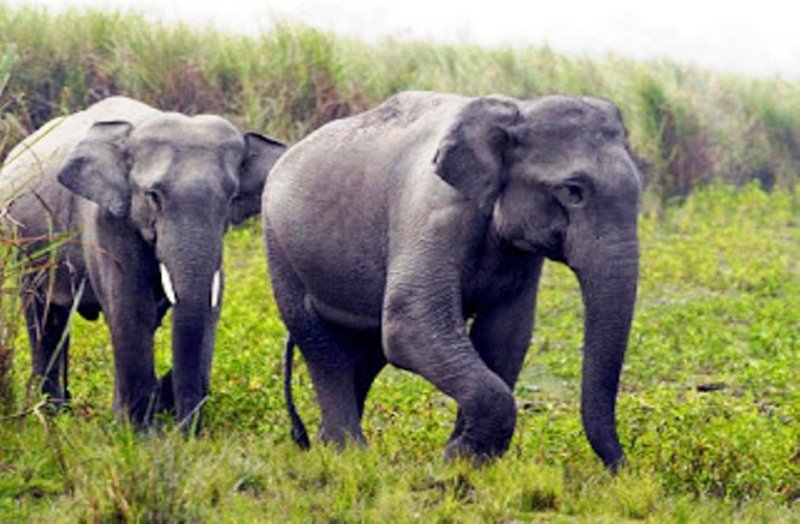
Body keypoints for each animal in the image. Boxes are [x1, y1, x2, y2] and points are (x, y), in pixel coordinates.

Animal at [0, 96, 285, 429]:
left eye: (230, 199)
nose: (186, 431)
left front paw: (136, 422)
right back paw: (53, 414)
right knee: (44, 317)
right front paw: (137, 431)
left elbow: (206, 305)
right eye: (153, 196)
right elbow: (131, 307)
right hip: (24, 244)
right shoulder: (105, 219)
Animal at [264, 91, 641, 470]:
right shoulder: (433, 215)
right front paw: (455, 460)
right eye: (572, 191)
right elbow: (409, 324)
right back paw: (349, 453)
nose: (621, 469)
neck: (516, 109)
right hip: (280, 249)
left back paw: (331, 446)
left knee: (364, 351)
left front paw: (464, 459)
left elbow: (505, 334)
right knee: (322, 346)